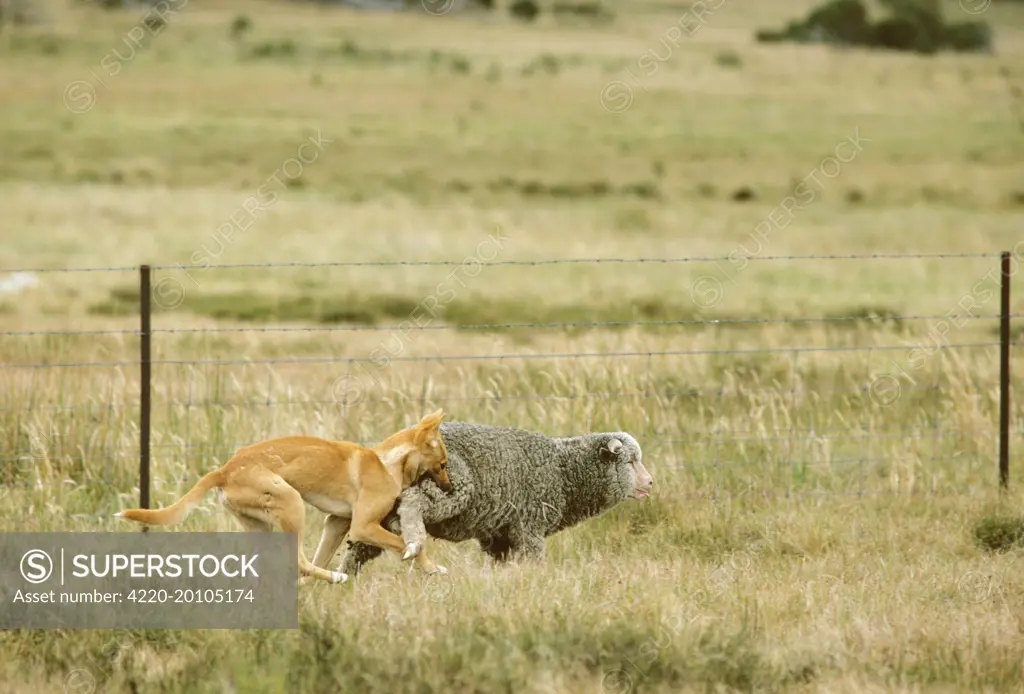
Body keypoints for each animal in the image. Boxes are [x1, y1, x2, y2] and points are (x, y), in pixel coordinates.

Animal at [114, 411, 450, 585]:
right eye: (445, 464)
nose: (449, 489)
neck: (386, 462)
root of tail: (225, 469)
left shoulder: (336, 524)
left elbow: (321, 555)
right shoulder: (362, 527)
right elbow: (409, 545)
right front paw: (432, 567)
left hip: (260, 524)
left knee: (292, 564)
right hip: (291, 502)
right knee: (298, 561)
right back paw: (335, 578)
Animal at [309, 421, 655, 577]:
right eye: (630, 462)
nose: (650, 483)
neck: (564, 470)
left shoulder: (499, 535)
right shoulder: (529, 527)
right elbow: (535, 558)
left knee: (358, 546)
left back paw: (344, 577)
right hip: (451, 485)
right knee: (412, 501)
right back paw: (414, 538)